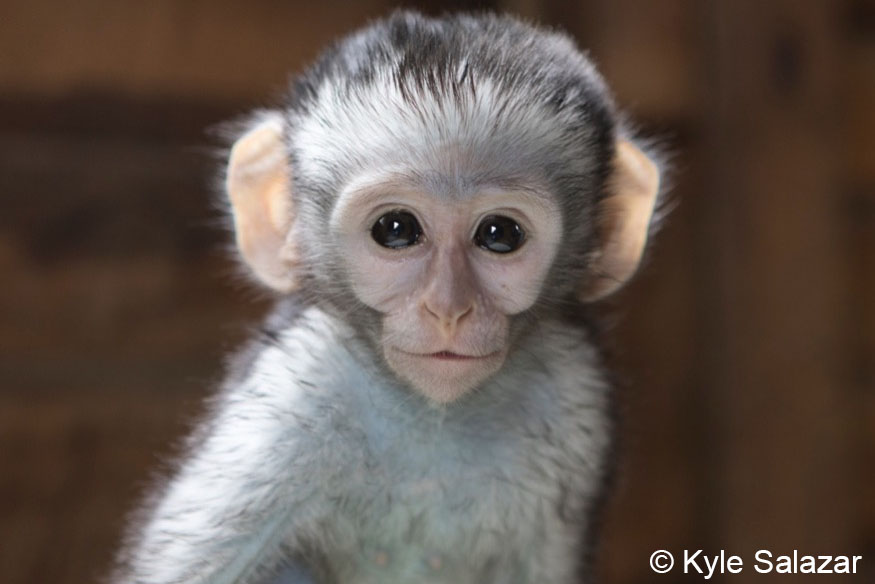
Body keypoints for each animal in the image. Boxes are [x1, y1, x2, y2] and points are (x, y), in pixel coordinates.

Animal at [113, 11, 662, 584]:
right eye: (396, 229)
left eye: (500, 234)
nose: (448, 308)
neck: (434, 417)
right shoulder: (292, 391)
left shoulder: (578, 392)